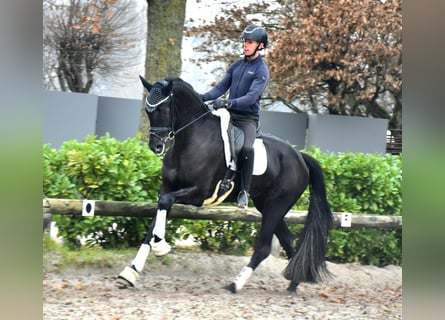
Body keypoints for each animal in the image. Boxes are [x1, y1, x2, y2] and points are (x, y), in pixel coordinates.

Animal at [116, 76, 332, 294]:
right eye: (148, 111)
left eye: (163, 109)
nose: (156, 147)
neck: (190, 141)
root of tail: (300, 157)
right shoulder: (167, 188)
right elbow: (155, 219)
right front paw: (130, 272)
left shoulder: (198, 194)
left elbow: (165, 203)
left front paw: (161, 246)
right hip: (268, 206)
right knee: (287, 241)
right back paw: (293, 283)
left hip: (276, 207)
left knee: (263, 248)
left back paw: (235, 284)